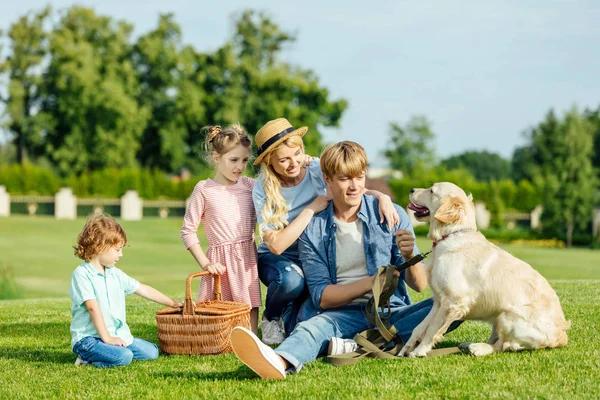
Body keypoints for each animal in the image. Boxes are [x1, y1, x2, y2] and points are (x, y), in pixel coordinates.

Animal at [400, 181, 568, 356]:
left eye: (432, 191)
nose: (411, 189)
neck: (452, 234)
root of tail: (562, 335)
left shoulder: (454, 301)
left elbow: (432, 329)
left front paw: (419, 351)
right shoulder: (439, 301)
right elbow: (420, 327)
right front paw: (406, 349)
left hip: (508, 317)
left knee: (503, 345)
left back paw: (477, 348)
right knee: (496, 339)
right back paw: (468, 344)